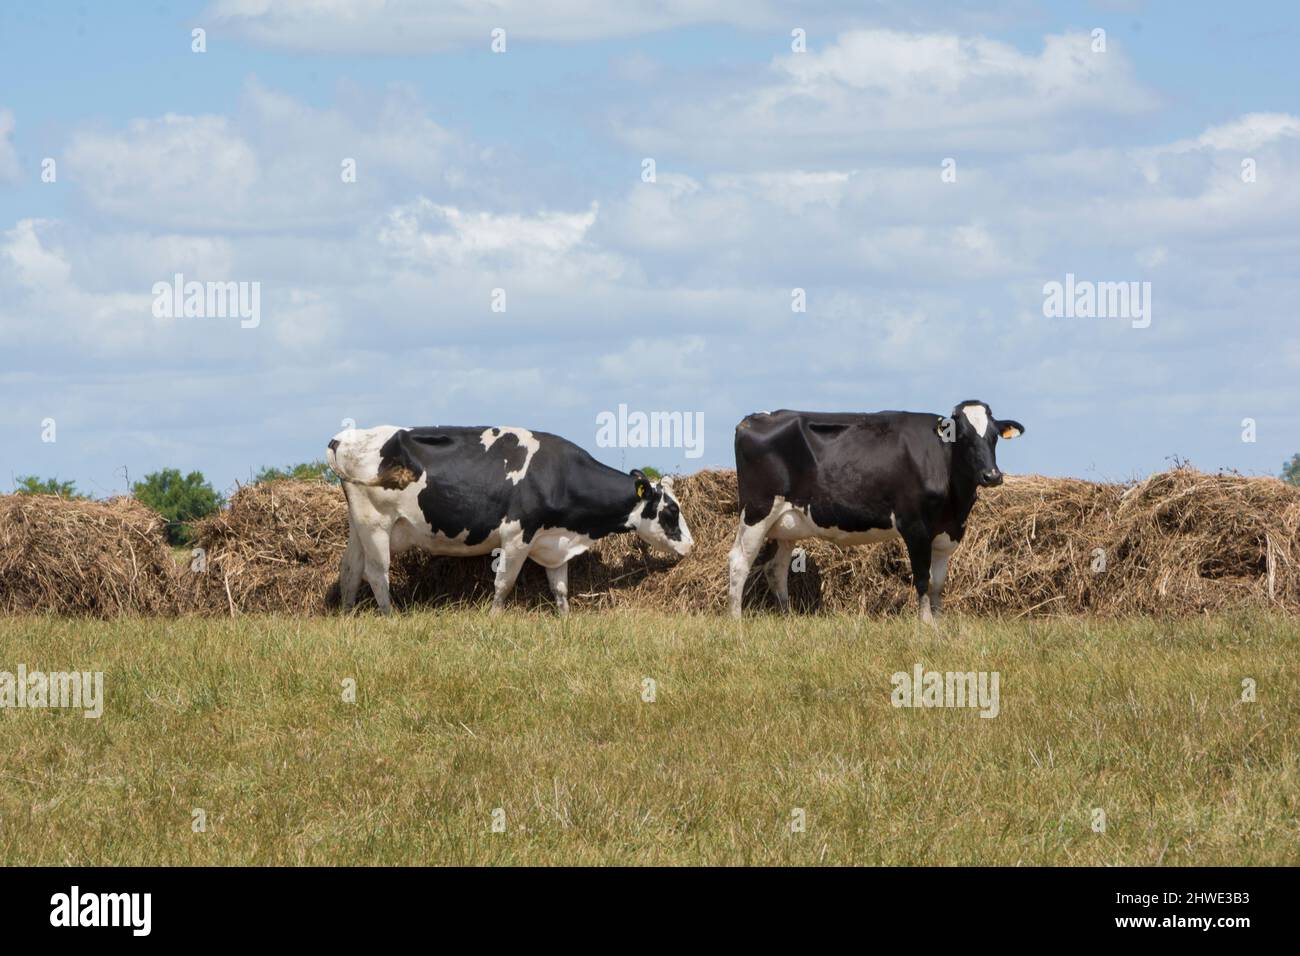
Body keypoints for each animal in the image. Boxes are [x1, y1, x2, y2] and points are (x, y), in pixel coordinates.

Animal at [326, 425, 693, 614]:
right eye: (671, 511)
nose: (690, 545)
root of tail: (345, 437)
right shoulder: (518, 536)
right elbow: (504, 583)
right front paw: (493, 618)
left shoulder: (553, 542)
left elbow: (560, 588)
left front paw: (565, 620)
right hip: (377, 524)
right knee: (376, 573)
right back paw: (390, 617)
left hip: (358, 527)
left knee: (350, 569)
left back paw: (348, 614)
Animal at [728, 401, 1024, 622]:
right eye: (961, 437)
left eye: (994, 437)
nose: (991, 475)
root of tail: (752, 419)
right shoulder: (915, 527)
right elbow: (922, 578)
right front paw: (925, 625)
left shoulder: (946, 533)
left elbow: (938, 584)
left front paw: (938, 624)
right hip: (757, 511)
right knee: (739, 562)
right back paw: (736, 622)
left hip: (786, 523)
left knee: (775, 568)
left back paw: (787, 617)